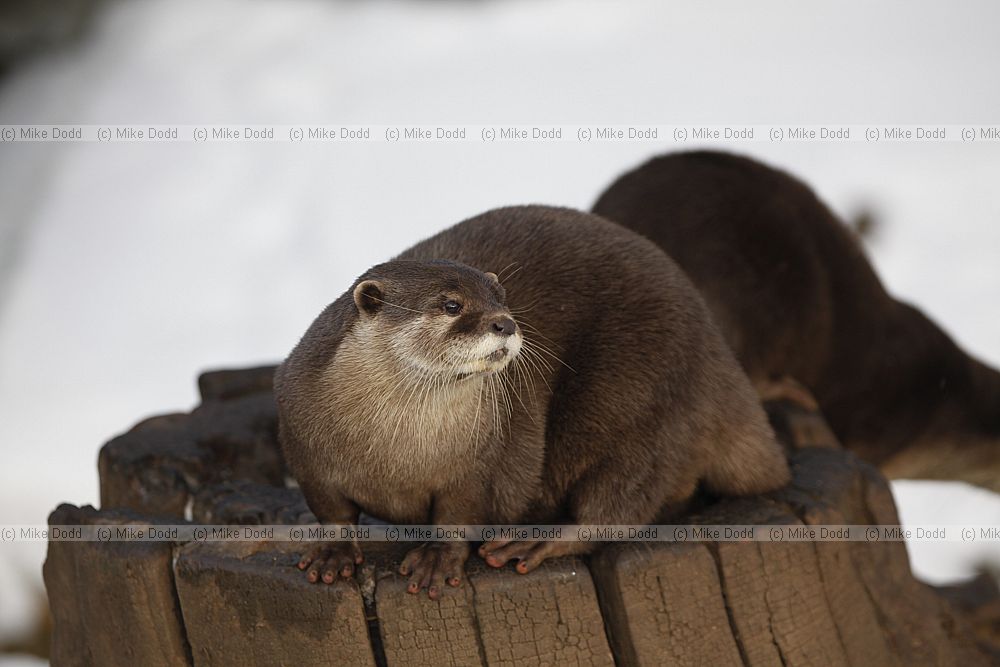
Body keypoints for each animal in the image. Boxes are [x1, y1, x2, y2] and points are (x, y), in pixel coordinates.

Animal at [274, 205, 789, 598]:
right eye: (452, 305)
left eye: (501, 297)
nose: (505, 322)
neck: (396, 451)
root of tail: (717, 355)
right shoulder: (301, 443)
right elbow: (332, 510)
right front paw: (333, 552)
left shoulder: (479, 462)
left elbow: (459, 515)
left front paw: (437, 558)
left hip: (646, 404)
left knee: (619, 509)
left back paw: (533, 541)